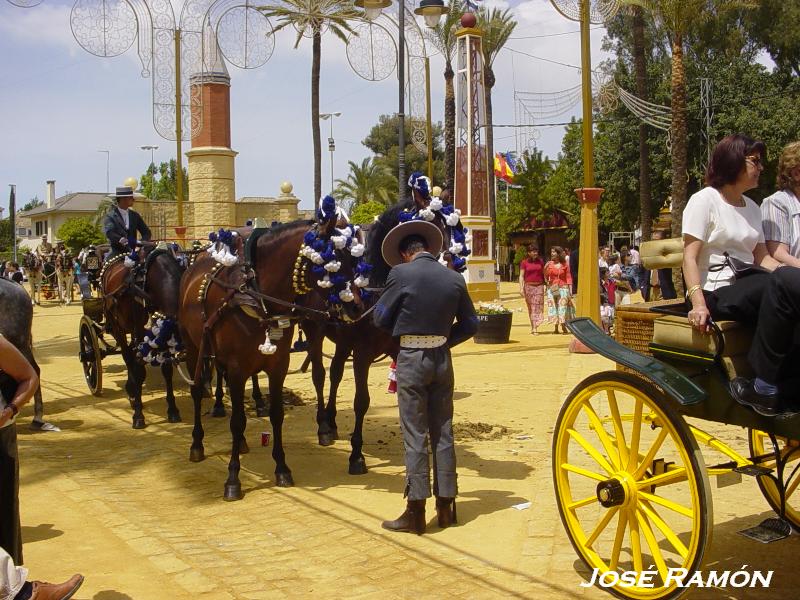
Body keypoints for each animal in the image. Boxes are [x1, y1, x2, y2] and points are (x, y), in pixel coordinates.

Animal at [100, 246, 184, 428]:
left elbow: (166, 369)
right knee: (127, 356)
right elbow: (137, 369)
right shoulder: (139, 329)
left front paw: (173, 410)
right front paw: (138, 415)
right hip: (117, 325)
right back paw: (132, 391)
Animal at [178, 217, 366, 502]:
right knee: (198, 391)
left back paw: (242, 443)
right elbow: (237, 421)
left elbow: (276, 415)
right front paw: (233, 479)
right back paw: (197, 443)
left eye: (353, 258)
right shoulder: (236, 369)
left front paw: (282, 468)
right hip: (192, 348)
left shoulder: (278, 365)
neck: (257, 297)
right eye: (329, 261)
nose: (356, 307)